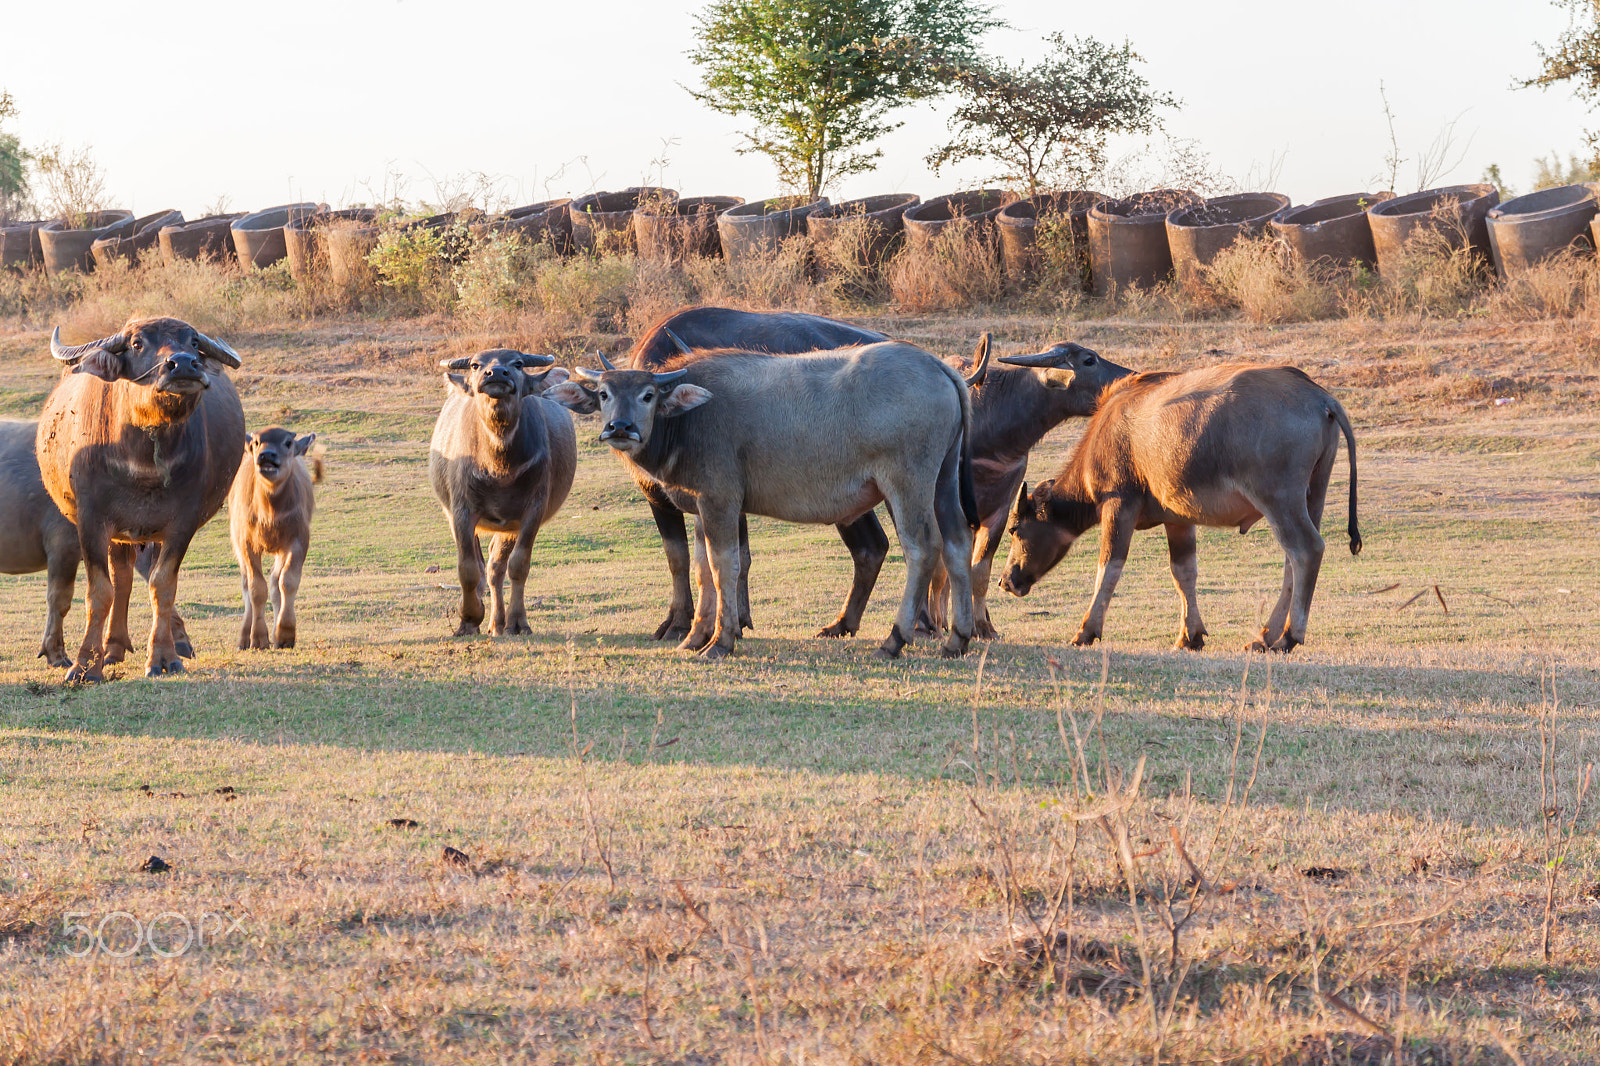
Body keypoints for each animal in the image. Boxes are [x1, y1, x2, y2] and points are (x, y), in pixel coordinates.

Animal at [37, 317, 247, 680]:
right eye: (137, 344)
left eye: (193, 342)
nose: (183, 364)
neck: (143, 461)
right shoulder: (92, 520)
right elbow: (99, 591)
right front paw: (85, 665)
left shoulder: (182, 523)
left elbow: (163, 585)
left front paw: (163, 657)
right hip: (118, 533)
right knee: (120, 578)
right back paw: (112, 648)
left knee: (134, 576)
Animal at [429, 349, 576, 636]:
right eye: (476, 365)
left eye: (517, 364)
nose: (496, 373)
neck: (498, 466)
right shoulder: (461, 511)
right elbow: (467, 569)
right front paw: (468, 619)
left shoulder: (532, 512)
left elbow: (518, 565)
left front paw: (518, 622)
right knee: (485, 566)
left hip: (508, 527)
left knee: (496, 567)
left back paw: (499, 623)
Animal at [547, 342, 978, 660]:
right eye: (605, 393)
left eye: (648, 394)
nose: (620, 427)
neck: (688, 420)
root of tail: (937, 366)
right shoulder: (703, 507)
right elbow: (702, 569)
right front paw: (695, 636)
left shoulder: (720, 501)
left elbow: (724, 566)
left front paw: (720, 641)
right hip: (943, 482)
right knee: (958, 542)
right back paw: (958, 638)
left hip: (907, 485)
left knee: (923, 547)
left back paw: (894, 639)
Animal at [999, 364, 1360, 652]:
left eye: (1014, 529)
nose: (1006, 581)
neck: (1110, 430)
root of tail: (1319, 397)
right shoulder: (1178, 520)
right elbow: (1183, 571)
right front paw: (1190, 635)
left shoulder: (1119, 506)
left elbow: (1109, 566)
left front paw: (1086, 630)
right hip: (1313, 495)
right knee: (1292, 561)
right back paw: (1265, 636)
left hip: (1279, 500)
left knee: (1306, 550)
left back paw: (1287, 636)